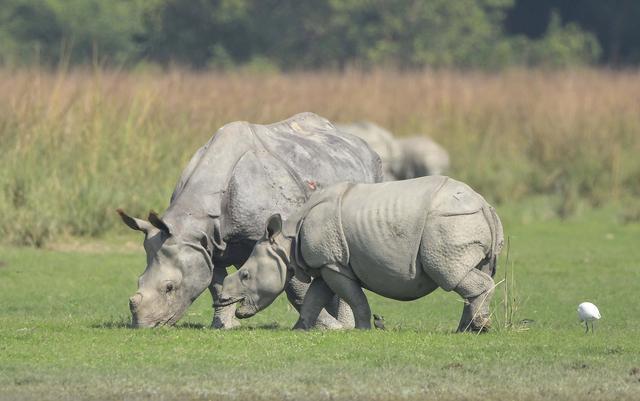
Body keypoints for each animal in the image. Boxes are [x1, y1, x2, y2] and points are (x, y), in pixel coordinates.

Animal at [220, 176, 504, 332]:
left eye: (245, 275)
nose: (223, 299)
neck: (286, 241)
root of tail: (484, 204)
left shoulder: (333, 264)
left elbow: (355, 298)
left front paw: (363, 329)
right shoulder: (327, 264)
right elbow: (315, 298)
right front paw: (299, 329)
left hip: (448, 223)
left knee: (449, 273)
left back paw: (479, 327)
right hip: (462, 221)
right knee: (471, 271)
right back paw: (466, 330)